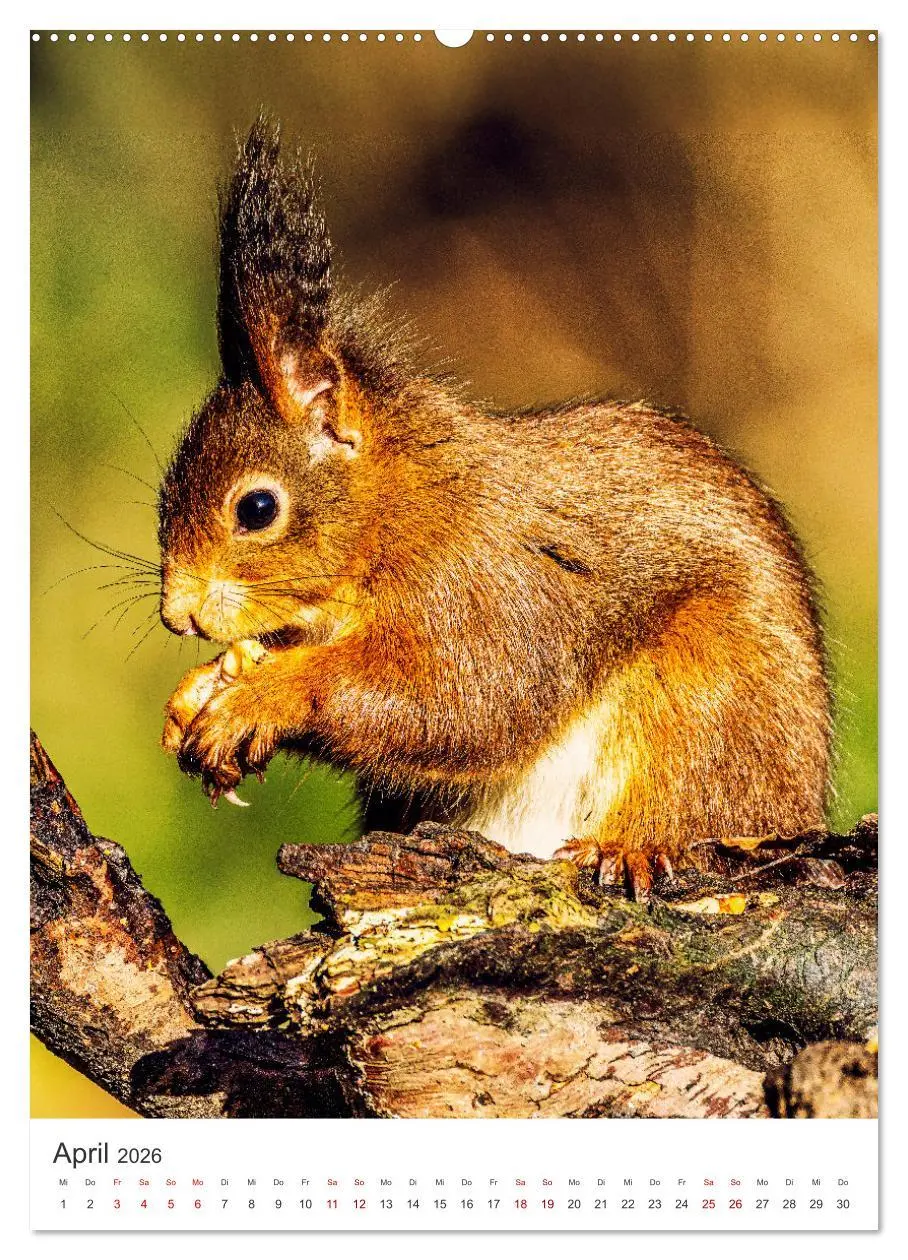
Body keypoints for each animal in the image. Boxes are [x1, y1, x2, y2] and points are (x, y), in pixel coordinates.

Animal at [157, 117, 832, 899]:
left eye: (258, 508)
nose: (178, 615)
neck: (404, 511)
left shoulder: (486, 590)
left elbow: (458, 702)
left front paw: (260, 698)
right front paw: (200, 689)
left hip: (715, 704)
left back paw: (632, 845)